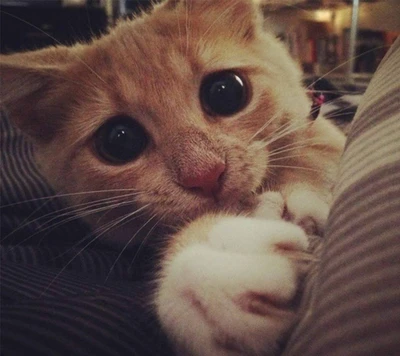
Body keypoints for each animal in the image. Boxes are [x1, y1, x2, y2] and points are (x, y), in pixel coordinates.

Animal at [0, 0, 344, 356]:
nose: (205, 173)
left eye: (226, 92)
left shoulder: (322, 131)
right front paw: (207, 267)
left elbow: (315, 151)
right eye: (119, 140)